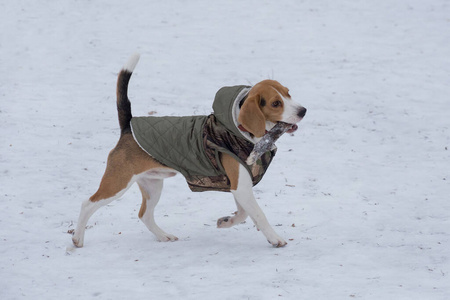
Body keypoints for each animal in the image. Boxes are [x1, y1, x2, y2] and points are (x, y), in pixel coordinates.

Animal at [73, 54, 306, 248]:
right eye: (276, 103)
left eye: (288, 93)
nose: (303, 110)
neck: (240, 131)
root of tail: (127, 128)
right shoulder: (241, 186)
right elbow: (258, 214)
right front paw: (275, 238)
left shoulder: (240, 185)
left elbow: (243, 214)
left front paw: (226, 222)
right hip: (118, 183)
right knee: (87, 204)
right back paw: (77, 239)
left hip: (152, 185)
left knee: (144, 215)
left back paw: (163, 236)